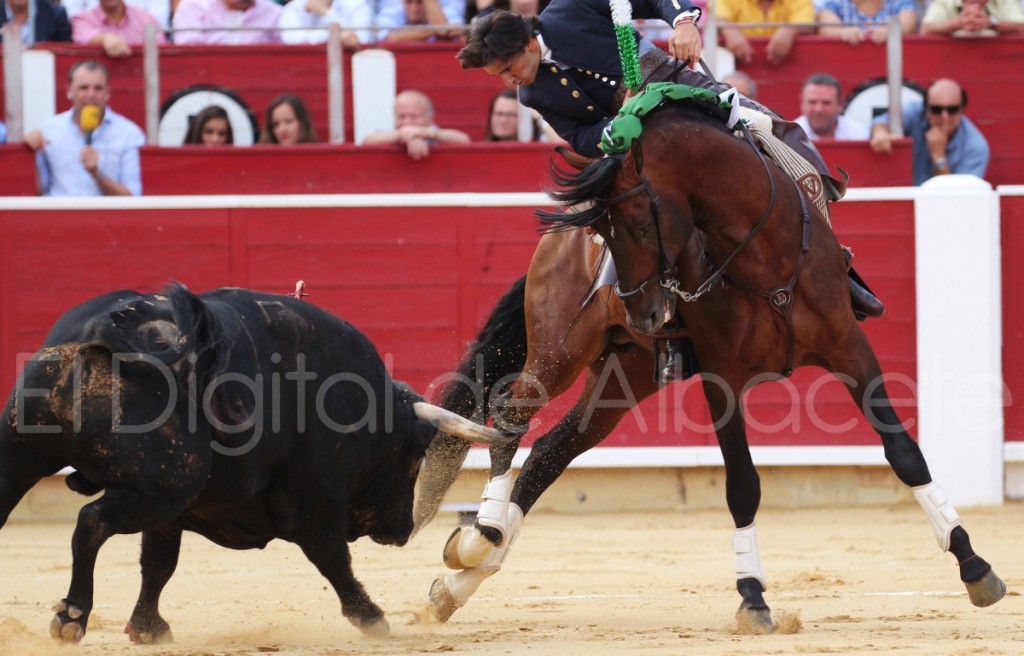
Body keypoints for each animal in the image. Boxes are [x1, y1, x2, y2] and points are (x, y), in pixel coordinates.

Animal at [0, 284, 509, 642]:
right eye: (412, 460)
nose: (402, 530)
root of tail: (111, 327)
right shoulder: (312, 500)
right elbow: (332, 559)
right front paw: (371, 619)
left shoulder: (173, 514)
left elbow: (158, 564)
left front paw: (147, 628)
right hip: (168, 483)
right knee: (91, 521)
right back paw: (72, 616)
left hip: (30, 455)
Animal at [415, 94, 1007, 630]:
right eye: (605, 230)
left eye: (640, 222)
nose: (646, 310)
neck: (766, 258)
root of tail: (556, 241)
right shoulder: (724, 381)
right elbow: (742, 483)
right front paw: (753, 598)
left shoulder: (849, 348)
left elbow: (904, 452)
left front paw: (975, 566)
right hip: (561, 351)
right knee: (512, 415)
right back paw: (479, 539)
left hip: (623, 379)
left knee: (549, 452)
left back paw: (458, 580)